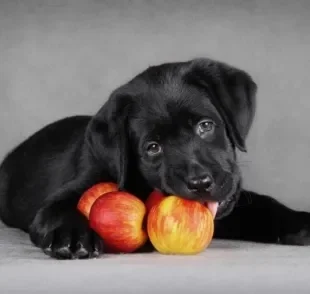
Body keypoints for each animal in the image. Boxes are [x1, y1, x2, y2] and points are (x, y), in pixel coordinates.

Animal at [0, 58, 310, 260]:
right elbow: (57, 209)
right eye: (152, 147)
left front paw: (300, 222)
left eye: (205, 126)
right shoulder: (72, 188)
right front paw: (72, 237)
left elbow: (263, 204)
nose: (200, 183)